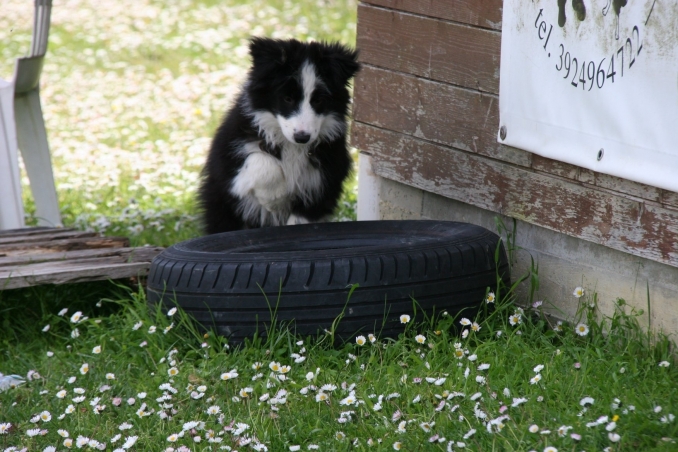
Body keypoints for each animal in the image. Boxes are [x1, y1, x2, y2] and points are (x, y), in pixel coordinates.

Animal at [199, 37, 362, 235]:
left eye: (318, 100)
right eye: (287, 98)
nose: (302, 137)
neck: (292, 146)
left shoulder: (326, 175)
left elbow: (302, 218)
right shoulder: (228, 156)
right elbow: (262, 160)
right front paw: (273, 199)